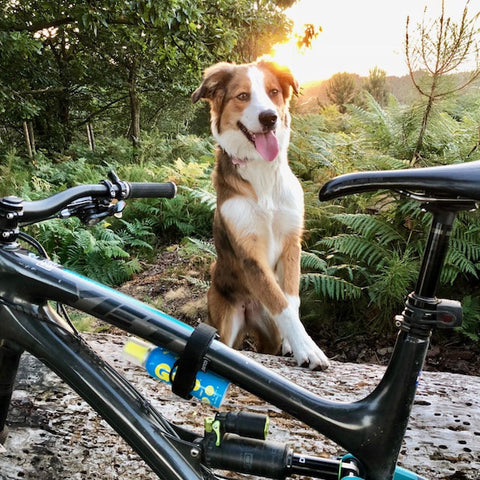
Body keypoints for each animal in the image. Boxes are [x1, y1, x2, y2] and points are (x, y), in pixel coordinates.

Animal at [191, 60, 330, 372]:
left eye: (273, 92)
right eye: (243, 96)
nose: (269, 118)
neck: (262, 173)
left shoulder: (291, 242)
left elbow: (289, 300)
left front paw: (296, 342)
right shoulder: (249, 253)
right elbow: (281, 303)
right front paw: (308, 348)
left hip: (269, 333)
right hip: (226, 323)